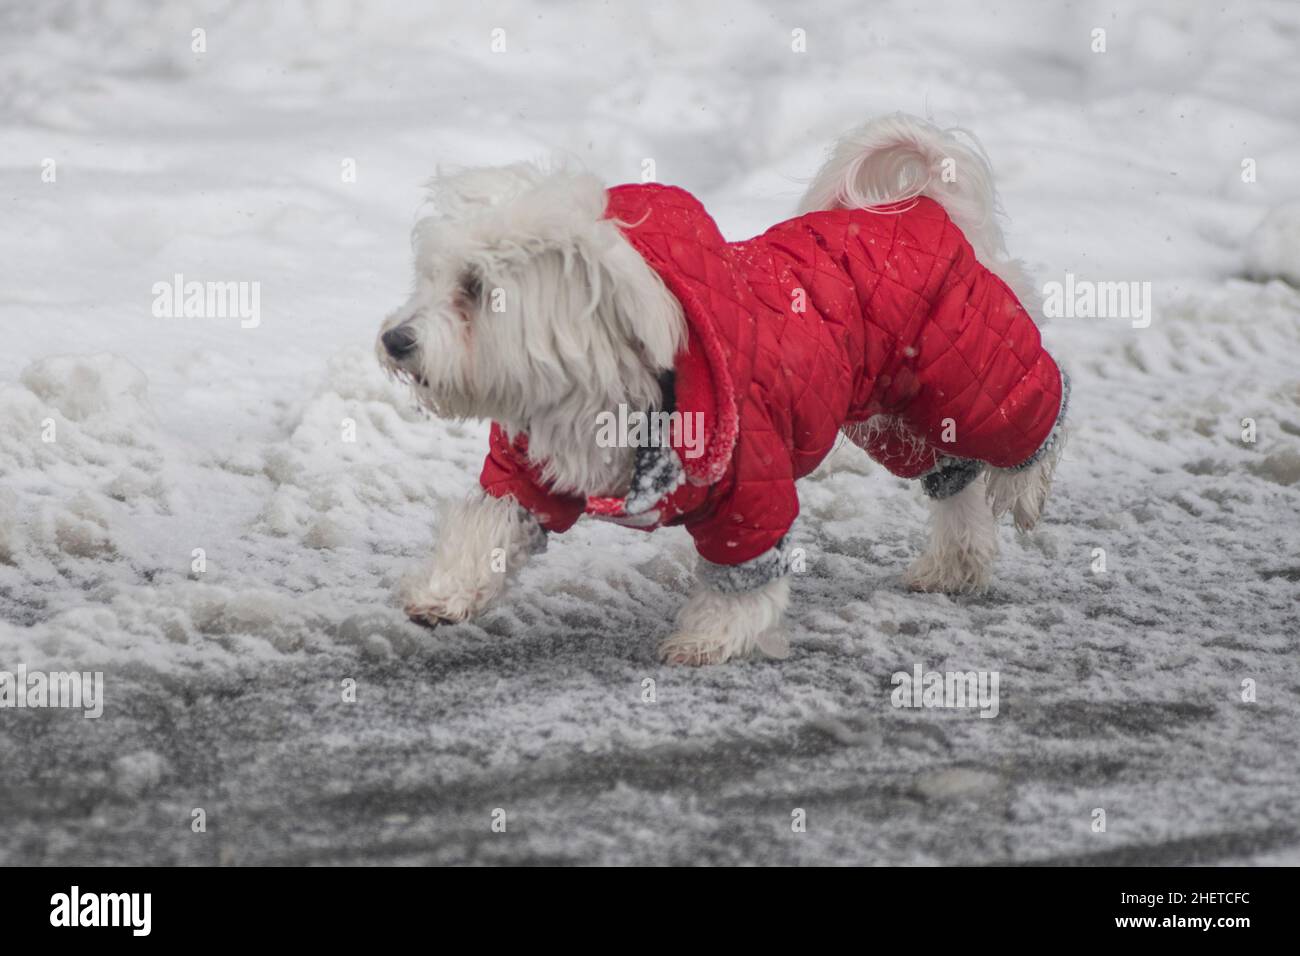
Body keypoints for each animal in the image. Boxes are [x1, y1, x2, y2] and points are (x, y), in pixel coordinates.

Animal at [377, 113, 1066, 665]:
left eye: (474, 287)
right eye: (431, 278)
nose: (394, 340)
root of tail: (927, 210)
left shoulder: (748, 484)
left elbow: (744, 573)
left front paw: (712, 637)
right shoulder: (525, 473)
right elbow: (491, 524)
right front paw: (445, 593)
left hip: (968, 375)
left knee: (1034, 409)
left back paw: (1028, 480)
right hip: (897, 416)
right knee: (955, 478)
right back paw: (957, 562)